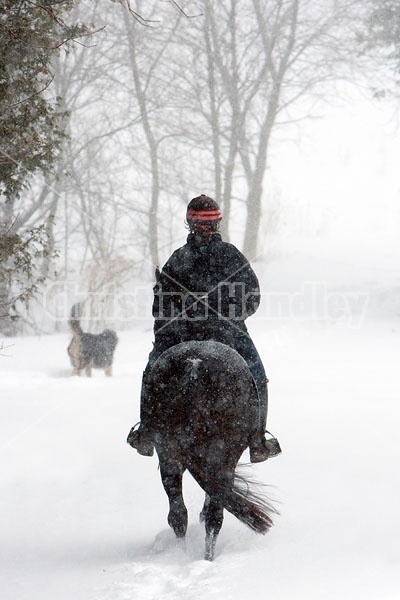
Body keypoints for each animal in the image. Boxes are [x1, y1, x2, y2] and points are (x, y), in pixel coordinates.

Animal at [146, 342, 276, 564]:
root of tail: (194, 367)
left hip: (168, 454)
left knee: (178, 514)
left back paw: (182, 556)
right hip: (223, 457)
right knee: (214, 517)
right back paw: (207, 558)